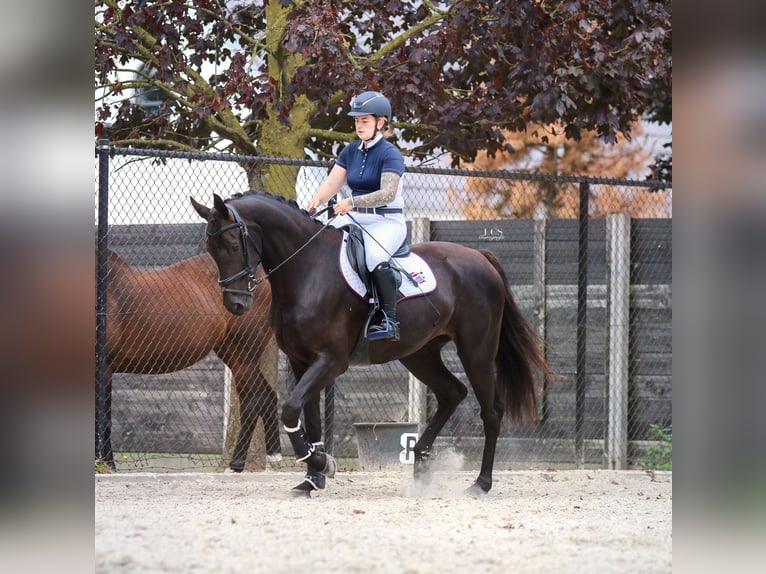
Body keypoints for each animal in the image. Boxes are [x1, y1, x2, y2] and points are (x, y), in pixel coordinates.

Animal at [100, 249, 282, 472]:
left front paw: (107, 466)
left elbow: (104, 420)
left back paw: (235, 465)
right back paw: (274, 456)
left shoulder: (104, 367)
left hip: (244, 356)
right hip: (233, 354)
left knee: (252, 402)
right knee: (267, 396)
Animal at [191, 191, 552, 498]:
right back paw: (420, 466)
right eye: (211, 248)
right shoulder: (300, 360)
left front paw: (322, 464)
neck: (307, 269)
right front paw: (312, 479)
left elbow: (291, 408)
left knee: (491, 410)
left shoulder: (331, 361)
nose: (236, 304)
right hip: (419, 355)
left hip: (476, 350)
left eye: (232, 244)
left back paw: (480, 484)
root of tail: (479, 256)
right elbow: (309, 417)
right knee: (452, 393)